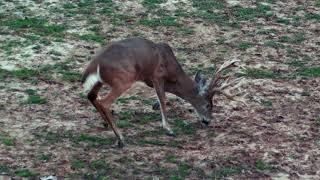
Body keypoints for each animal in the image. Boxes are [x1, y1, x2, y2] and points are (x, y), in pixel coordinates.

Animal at [82, 37, 242, 148]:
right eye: (208, 104)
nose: (207, 121)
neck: (172, 71)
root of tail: (95, 63)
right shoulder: (157, 76)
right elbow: (163, 99)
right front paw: (169, 129)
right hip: (123, 79)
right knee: (104, 102)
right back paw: (121, 139)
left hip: (101, 81)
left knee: (91, 96)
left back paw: (106, 123)